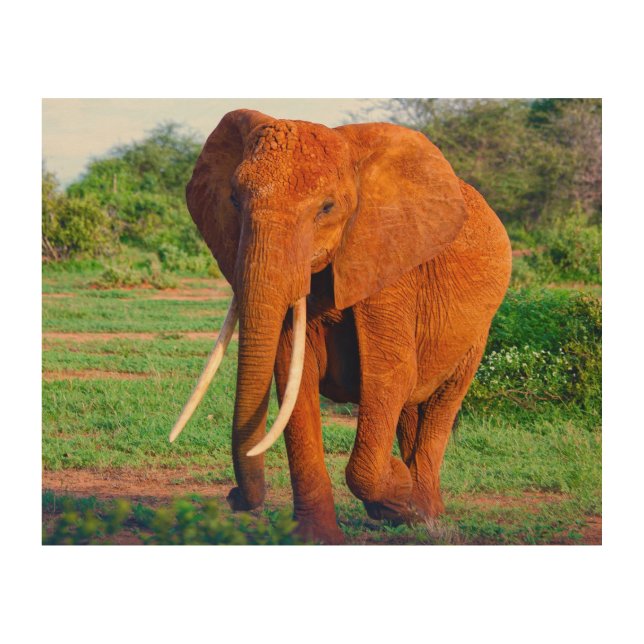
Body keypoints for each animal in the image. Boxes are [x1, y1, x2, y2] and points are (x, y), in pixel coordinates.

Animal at [168, 109, 512, 544]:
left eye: (327, 208)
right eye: (233, 200)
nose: (232, 497)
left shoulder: (389, 262)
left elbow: (390, 375)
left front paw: (396, 492)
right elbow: (293, 377)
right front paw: (317, 538)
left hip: (479, 328)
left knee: (441, 401)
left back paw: (425, 515)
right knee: (412, 408)